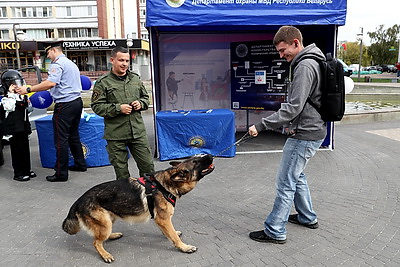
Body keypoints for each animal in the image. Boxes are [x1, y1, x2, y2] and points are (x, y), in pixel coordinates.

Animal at [61, 155, 214, 264]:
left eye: (197, 157)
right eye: (195, 161)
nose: (211, 155)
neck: (164, 184)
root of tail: (78, 200)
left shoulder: (161, 220)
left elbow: (169, 232)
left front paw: (171, 234)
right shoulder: (163, 219)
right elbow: (174, 237)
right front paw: (184, 247)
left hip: (109, 219)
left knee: (100, 237)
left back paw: (113, 235)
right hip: (105, 223)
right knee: (96, 242)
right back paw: (105, 255)